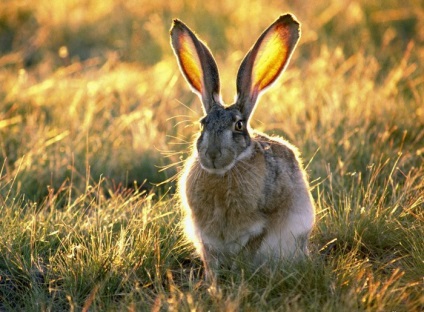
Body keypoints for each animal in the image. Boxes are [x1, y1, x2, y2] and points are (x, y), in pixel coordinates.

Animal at [170, 14, 314, 278]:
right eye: (203, 124)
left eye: (238, 126)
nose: (213, 155)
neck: (223, 173)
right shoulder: (204, 235)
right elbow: (211, 258)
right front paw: (212, 281)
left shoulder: (262, 226)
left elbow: (249, 250)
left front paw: (239, 274)